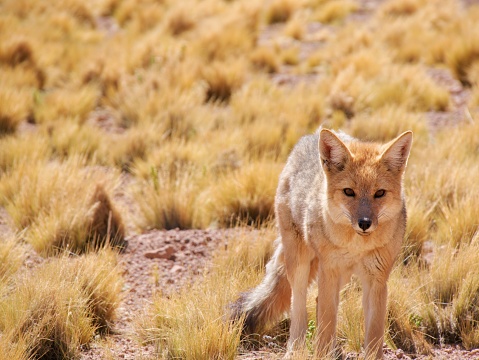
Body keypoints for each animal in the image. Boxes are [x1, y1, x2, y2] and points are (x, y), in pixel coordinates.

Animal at [232, 128, 412, 358]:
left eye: (379, 193)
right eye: (349, 192)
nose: (364, 223)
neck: (356, 246)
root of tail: (311, 135)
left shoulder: (376, 280)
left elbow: (373, 335)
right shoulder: (329, 270)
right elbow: (326, 323)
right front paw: (322, 354)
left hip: (340, 276)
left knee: (318, 302)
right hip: (300, 264)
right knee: (299, 306)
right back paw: (295, 350)